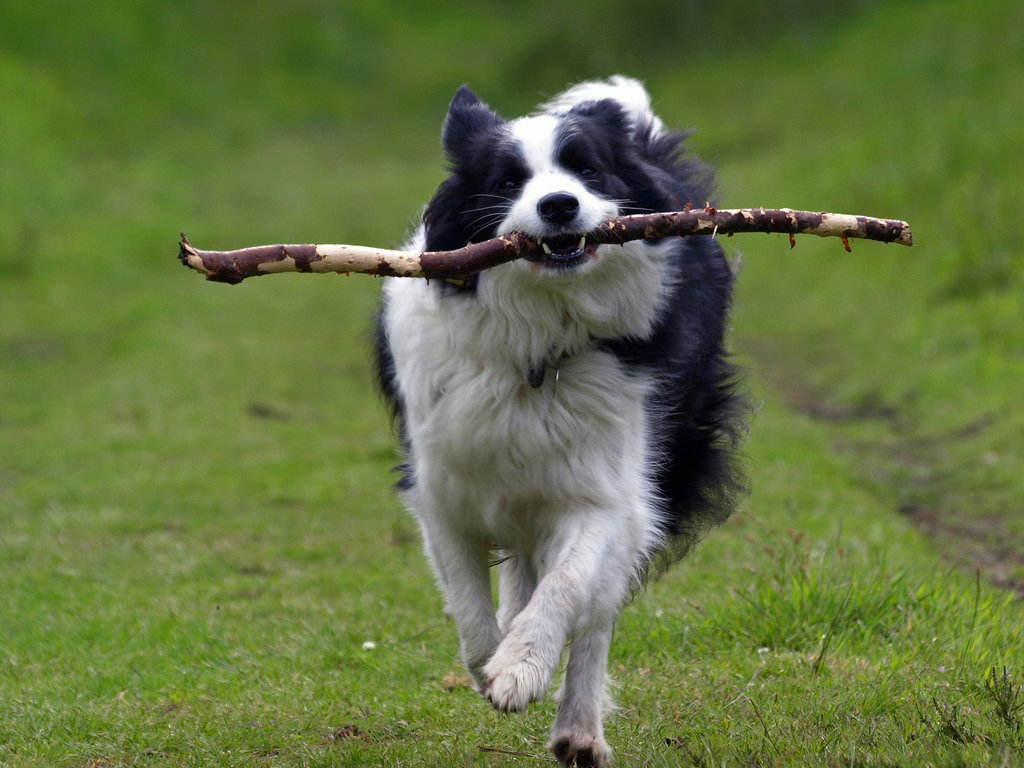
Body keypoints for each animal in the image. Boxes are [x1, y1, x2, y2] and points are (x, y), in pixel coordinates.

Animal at [372, 78, 749, 768]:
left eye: (587, 169)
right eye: (507, 180)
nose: (557, 205)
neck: (539, 342)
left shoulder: (607, 489)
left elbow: (570, 586)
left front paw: (521, 668)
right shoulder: (441, 487)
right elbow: (468, 606)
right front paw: (492, 662)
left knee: (596, 607)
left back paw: (579, 729)